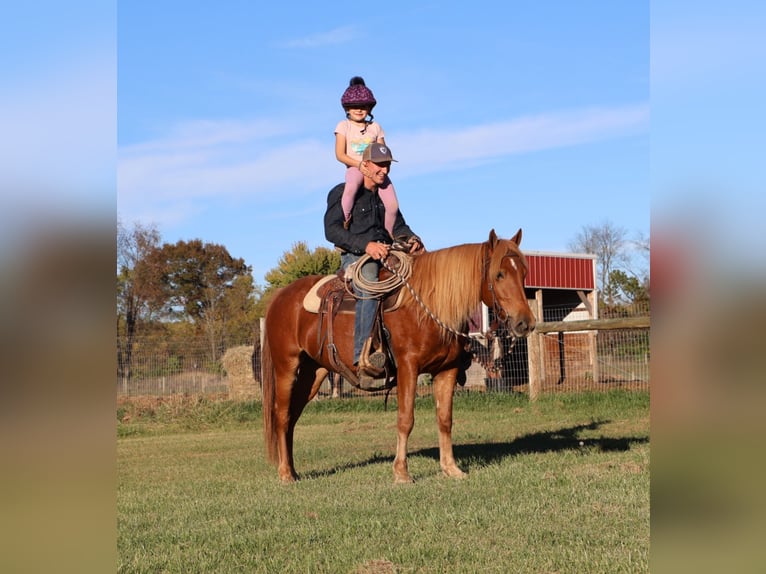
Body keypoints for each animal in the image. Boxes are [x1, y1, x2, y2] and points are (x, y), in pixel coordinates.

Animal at [260, 229, 536, 483]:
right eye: (499, 274)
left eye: (523, 272)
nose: (525, 323)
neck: (427, 307)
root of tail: (279, 297)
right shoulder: (408, 368)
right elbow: (405, 420)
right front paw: (402, 472)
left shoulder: (447, 370)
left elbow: (445, 419)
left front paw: (451, 468)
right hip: (286, 367)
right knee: (281, 415)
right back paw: (285, 473)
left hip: (314, 372)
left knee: (293, 416)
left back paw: (293, 470)